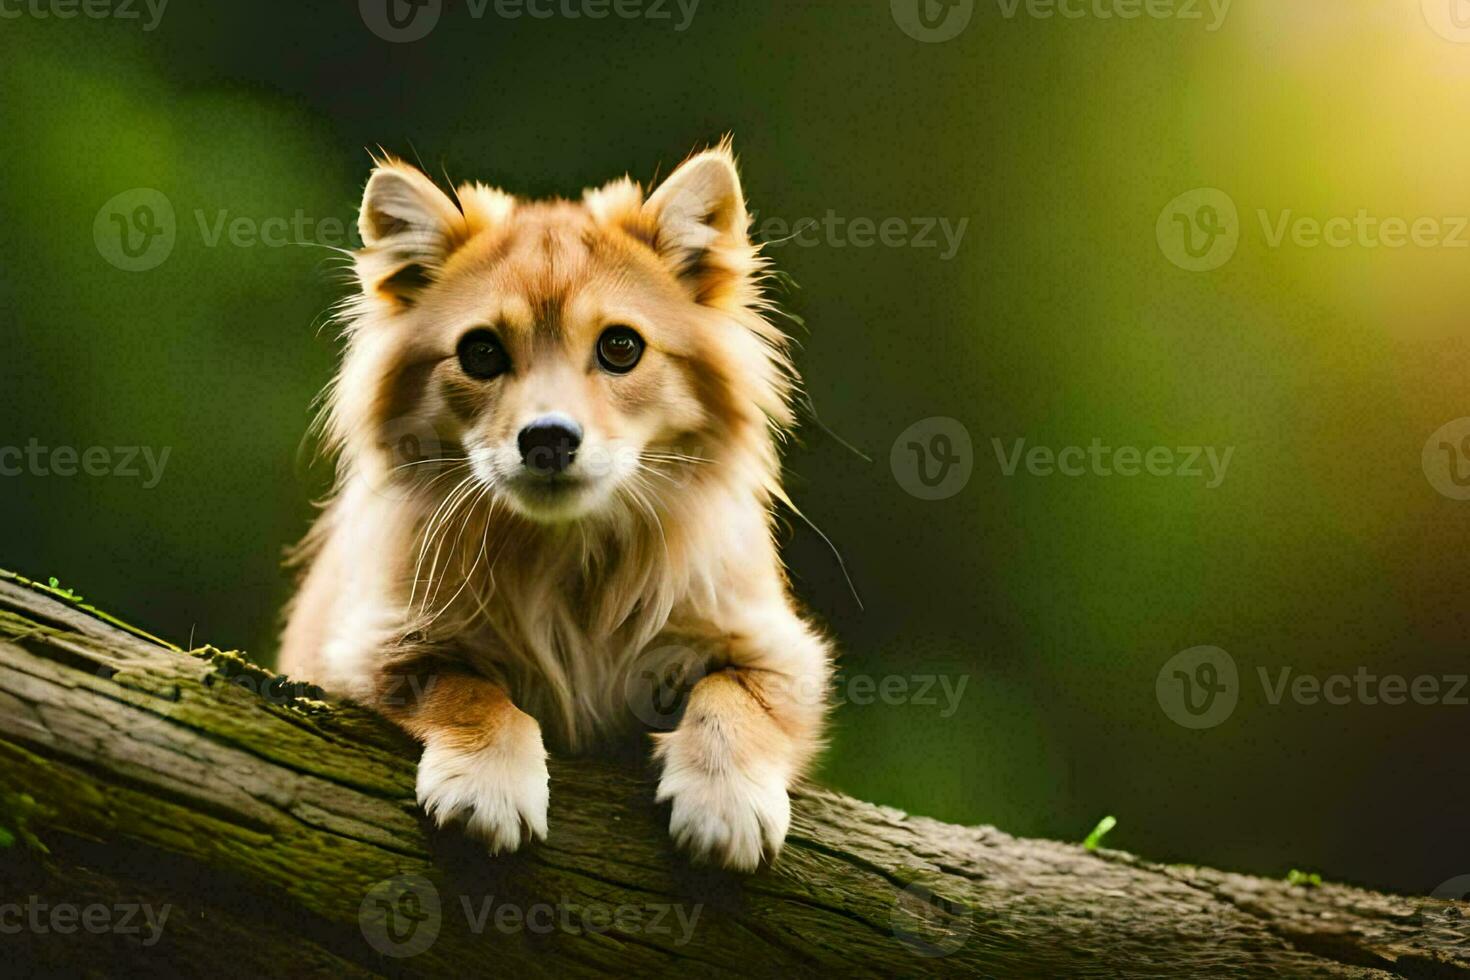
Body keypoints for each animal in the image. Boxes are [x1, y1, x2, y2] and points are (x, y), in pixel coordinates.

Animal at [280, 141, 834, 869]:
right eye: (480, 353)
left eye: (621, 346)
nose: (547, 438)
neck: (567, 558)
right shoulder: (366, 649)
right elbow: (467, 688)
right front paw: (487, 779)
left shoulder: (782, 648)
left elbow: (736, 694)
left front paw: (727, 797)